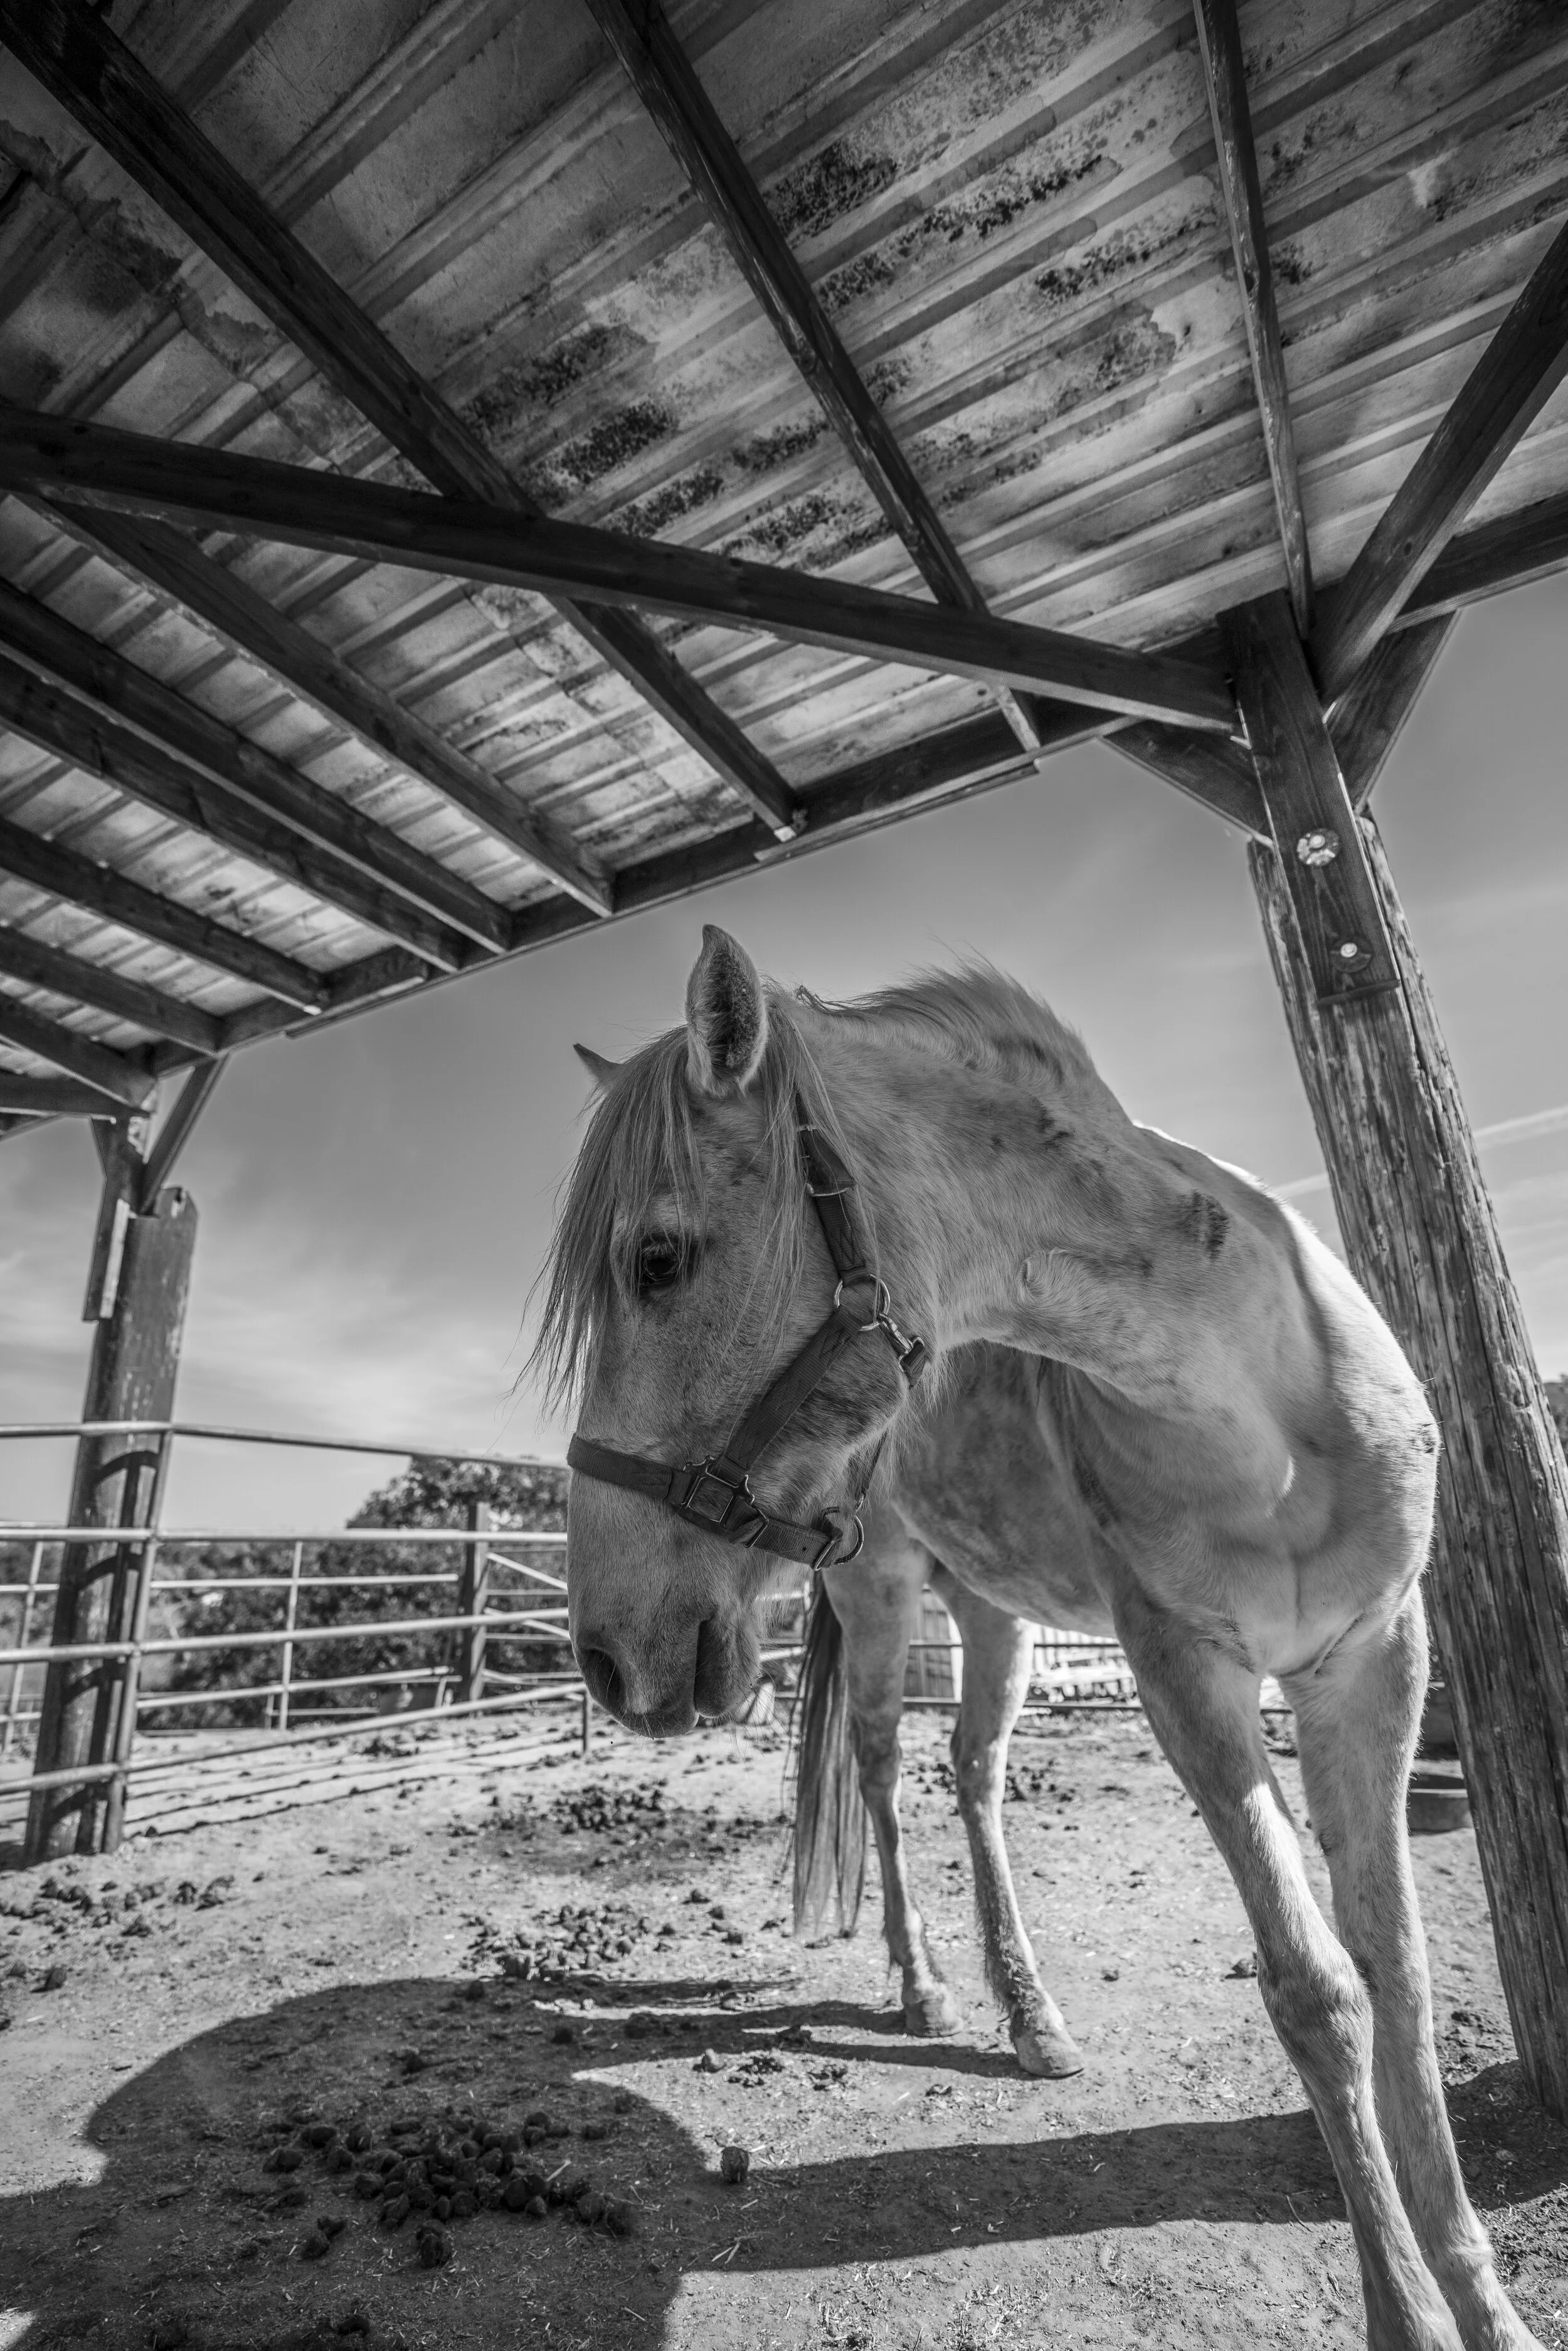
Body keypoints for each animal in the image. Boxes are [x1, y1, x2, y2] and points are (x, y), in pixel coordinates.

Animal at [536, 924, 1540, 2351]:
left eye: (659, 1259)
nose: (610, 1655)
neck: (1255, 1388)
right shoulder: (1185, 1673)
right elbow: (1315, 1989)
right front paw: (1404, 2309)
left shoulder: (1374, 1660)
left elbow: (1391, 1971)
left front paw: (1482, 2303)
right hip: (883, 1598)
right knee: (886, 1772)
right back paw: (925, 1984)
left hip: (993, 1613)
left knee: (973, 1774)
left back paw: (1028, 2007)